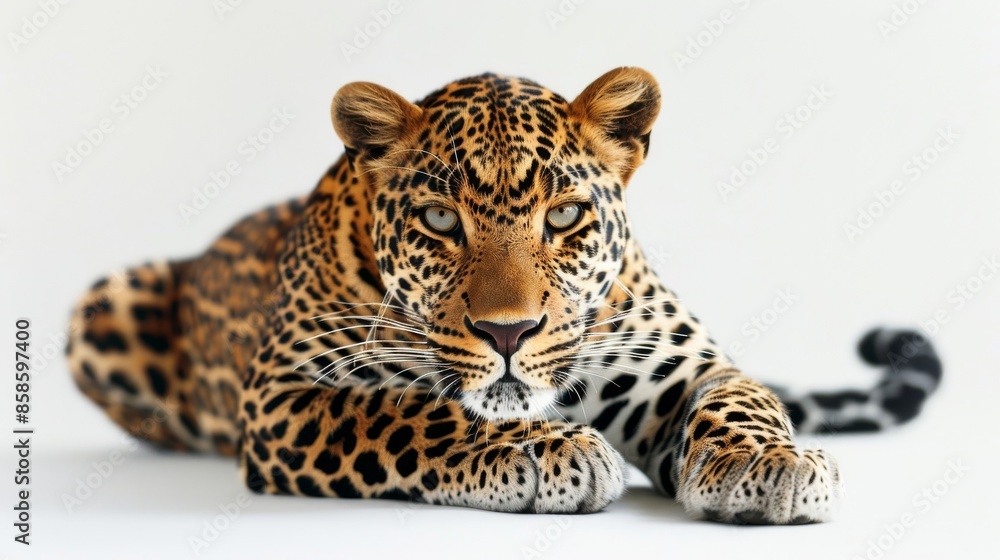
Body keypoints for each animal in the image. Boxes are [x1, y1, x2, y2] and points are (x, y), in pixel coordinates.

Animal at [65, 68, 943, 524]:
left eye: (562, 216)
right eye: (439, 220)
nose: (509, 333)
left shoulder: (683, 366)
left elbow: (743, 398)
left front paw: (765, 459)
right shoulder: (286, 396)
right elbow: (408, 412)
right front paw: (545, 449)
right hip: (104, 299)